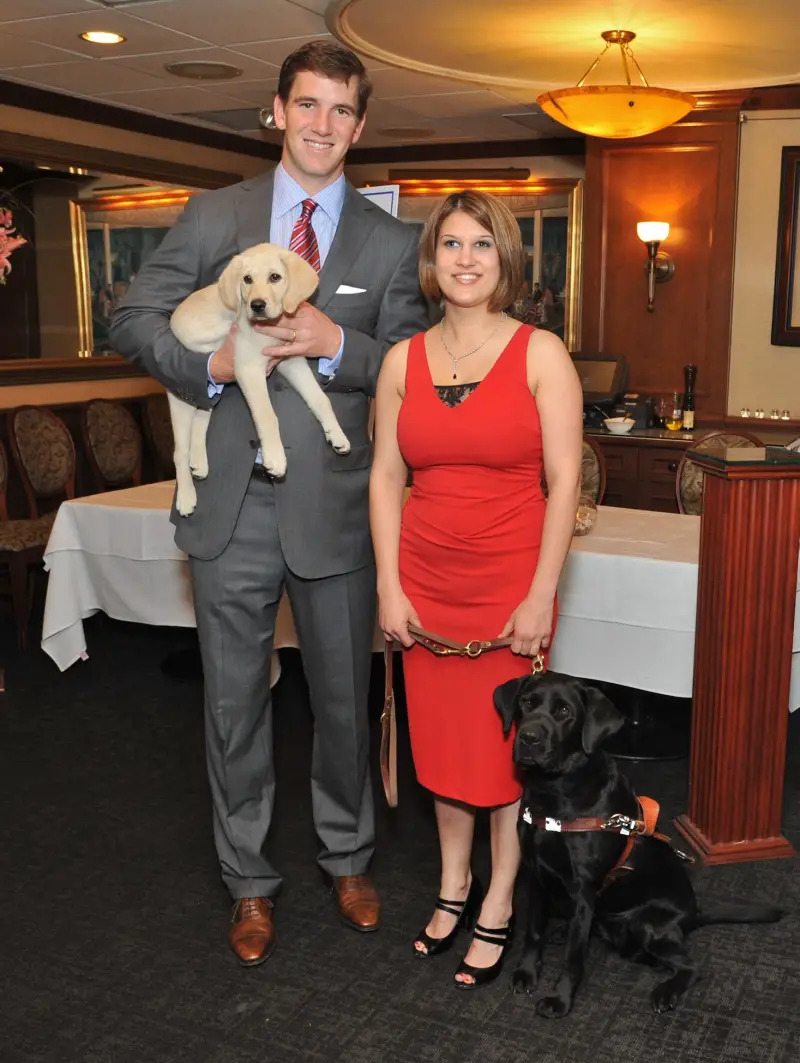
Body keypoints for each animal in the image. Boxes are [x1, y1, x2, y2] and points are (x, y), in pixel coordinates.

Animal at [169, 244, 348, 518]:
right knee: (179, 451)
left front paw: (336, 435)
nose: (257, 306)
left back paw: (199, 462)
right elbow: (266, 415)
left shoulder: (291, 361)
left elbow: (320, 399)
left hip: (209, 394)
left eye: (275, 277)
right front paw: (275, 458)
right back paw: (186, 497)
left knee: (201, 418)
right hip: (182, 398)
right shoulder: (249, 368)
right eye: (247, 279)